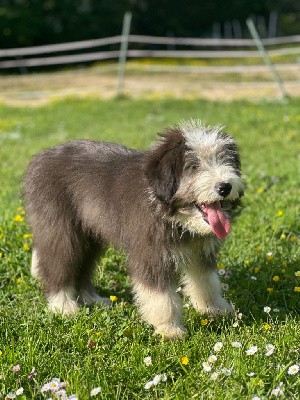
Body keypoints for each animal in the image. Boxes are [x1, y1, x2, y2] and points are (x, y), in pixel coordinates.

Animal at [22, 120, 244, 340]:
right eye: (194, 166)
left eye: (225, 161)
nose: (225, 187)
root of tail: (39, 159)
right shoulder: (151, 253)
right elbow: (162, 297)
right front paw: (169, 330)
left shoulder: (200, 252)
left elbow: (206, 281)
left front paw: (214, 309)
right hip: (61, 229)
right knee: (58, 263)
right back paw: (63, 306)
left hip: (90, 235)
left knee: (83, 266)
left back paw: (92, 299)